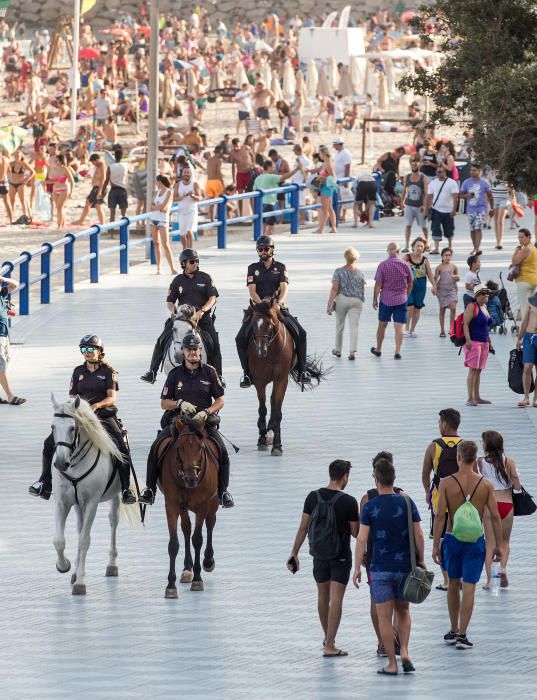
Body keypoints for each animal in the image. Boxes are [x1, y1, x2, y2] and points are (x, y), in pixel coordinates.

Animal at [50, 394, 139, 596]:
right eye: (52, 427)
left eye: (72, 428)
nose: (60, 463)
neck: (74, 463)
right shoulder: (62, 502)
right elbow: (59, 540)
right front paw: (64, 566)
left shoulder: (92, 502)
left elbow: (84, 541)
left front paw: (80, 583)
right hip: (78, 504)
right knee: (80, 527)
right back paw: (75, 571)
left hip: (114, 496)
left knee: (113, 521)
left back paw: (111, 565)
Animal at [158, 416, 219, 596]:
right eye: (180, 447)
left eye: (201, 447)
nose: (191, 479)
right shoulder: (171, 505)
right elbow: (173, 544)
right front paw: (171, 585)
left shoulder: (202, 504)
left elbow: (197, 539)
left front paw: (197, 579)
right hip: (183, 507)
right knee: (186, 528)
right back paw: (187, 568)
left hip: (213, 501)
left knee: (210, 523)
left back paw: (208, 560)